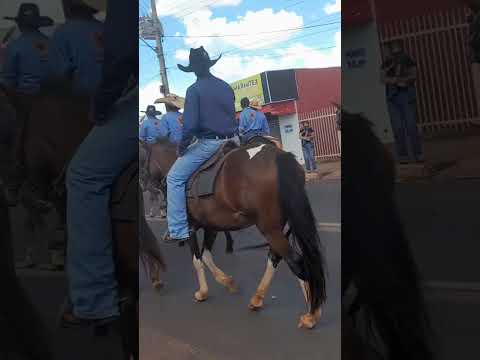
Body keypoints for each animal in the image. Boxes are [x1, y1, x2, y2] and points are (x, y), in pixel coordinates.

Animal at [149, 138, 326, 330]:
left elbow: (197, 260)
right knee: (276, 257)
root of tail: (280, 156)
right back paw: (258, 299)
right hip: (278, 227)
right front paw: (228, 282)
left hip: (270, 229)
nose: (147, 186)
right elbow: (206, 256)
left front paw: (203, 292)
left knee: (295, 261)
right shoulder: (211, 226)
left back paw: (312, 314)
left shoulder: (190, 226)